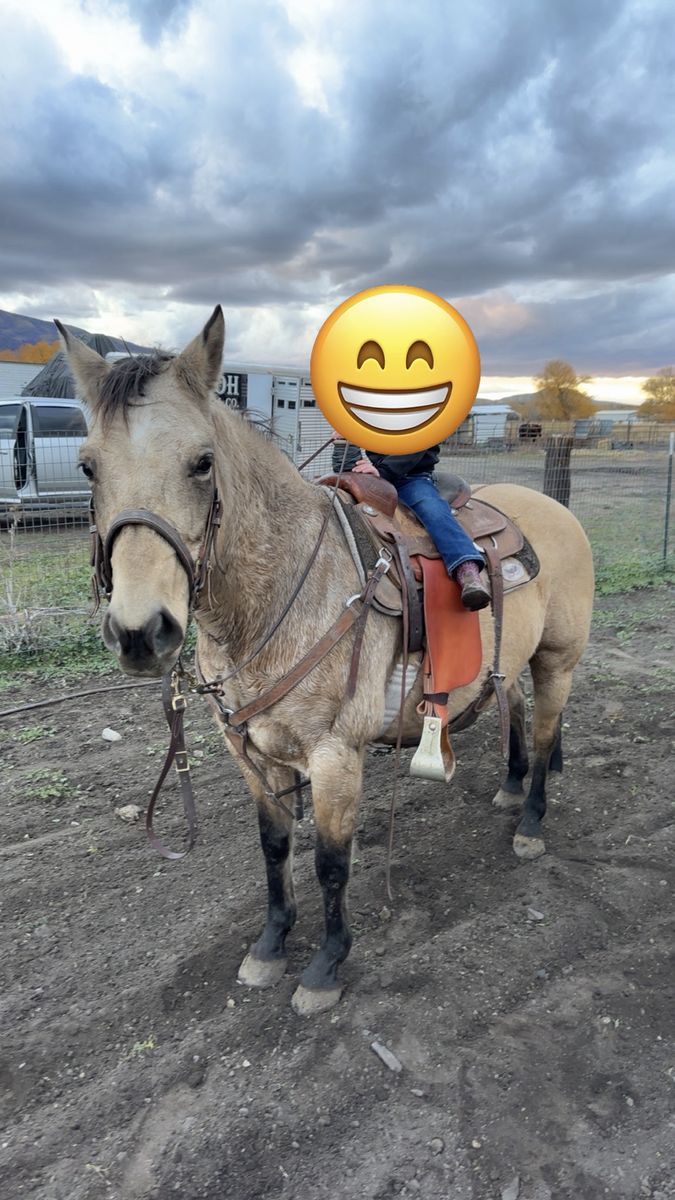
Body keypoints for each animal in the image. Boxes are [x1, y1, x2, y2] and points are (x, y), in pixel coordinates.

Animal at [57, 307, 594, 1016]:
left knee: (546, 728)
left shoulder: (337, 755)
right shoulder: (253, 754)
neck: (278, 597)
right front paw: (270, 946)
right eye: (88, 466)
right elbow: (274, 847)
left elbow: (331, 864)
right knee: (516, 708)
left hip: (558, 659)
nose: (141, 631)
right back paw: (509, 786)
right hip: (509, 659)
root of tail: (556, 509)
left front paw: (326, 964)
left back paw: (531, 820)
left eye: (202, 463)